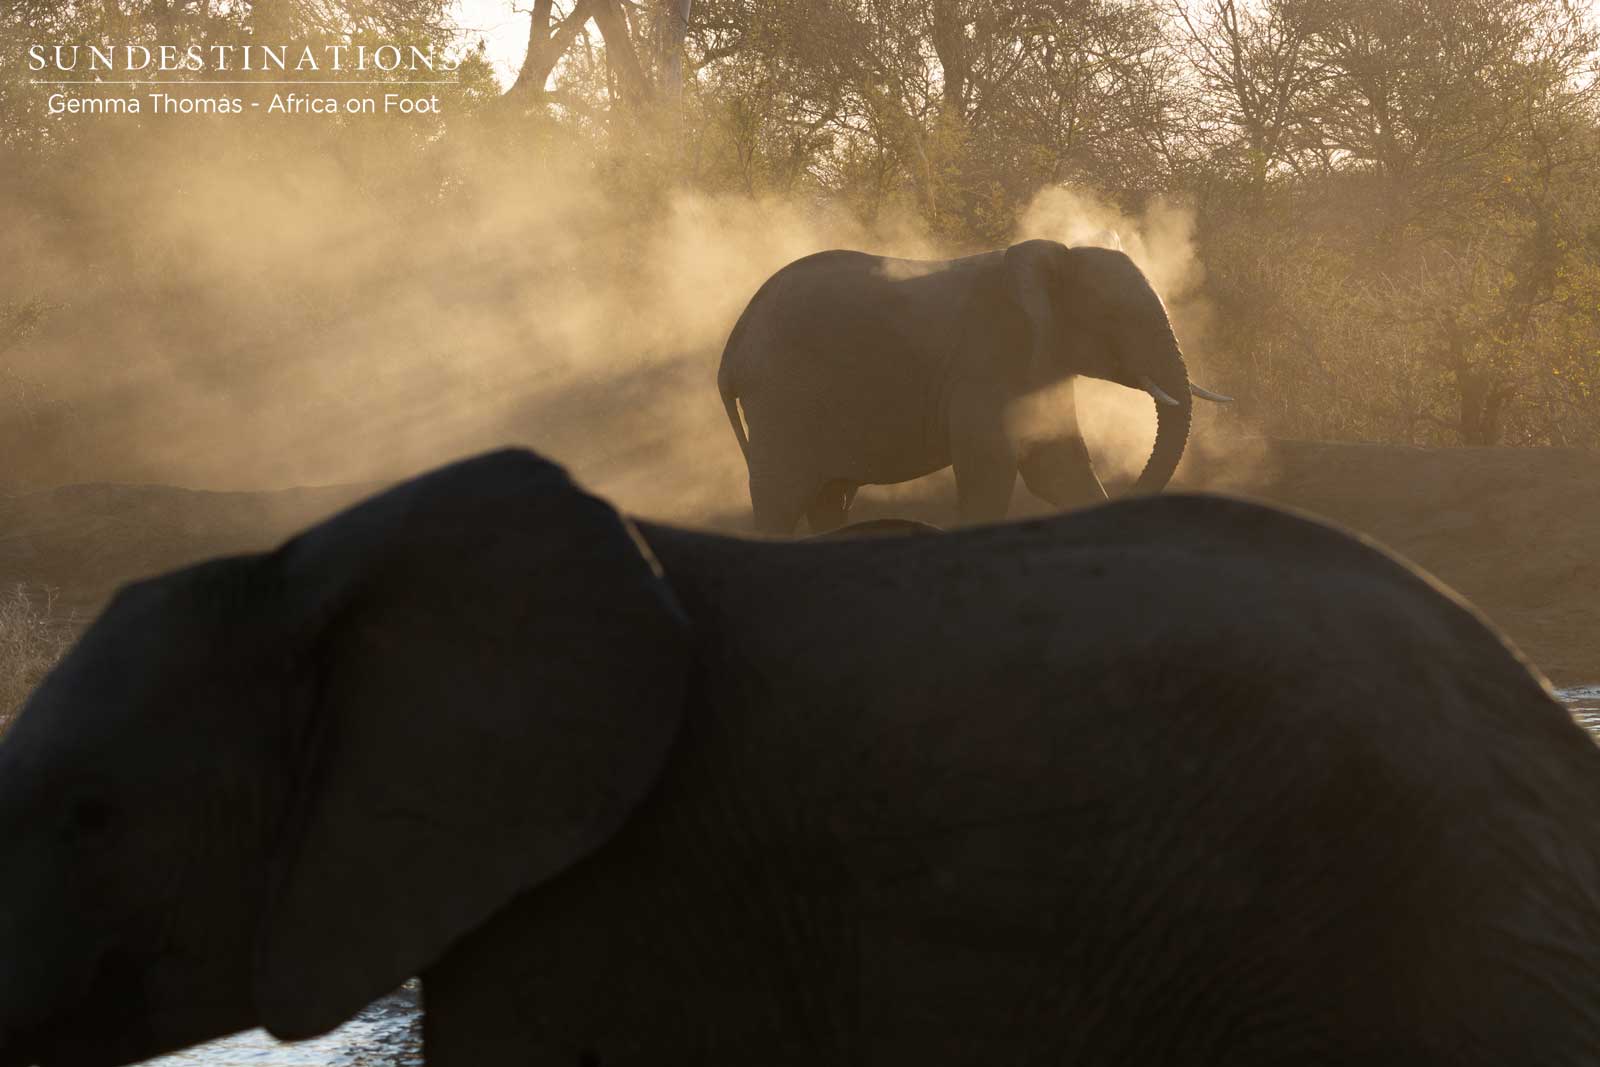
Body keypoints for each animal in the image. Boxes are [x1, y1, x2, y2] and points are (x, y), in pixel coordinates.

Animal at [717, 239, 1233, 535]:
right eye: (1116, 319)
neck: (1053, 259)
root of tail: (734, 344)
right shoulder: (987, 361)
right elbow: (991, 468)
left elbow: (1057, 467)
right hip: (782, 398)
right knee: (782, 500)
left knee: (830, 497)